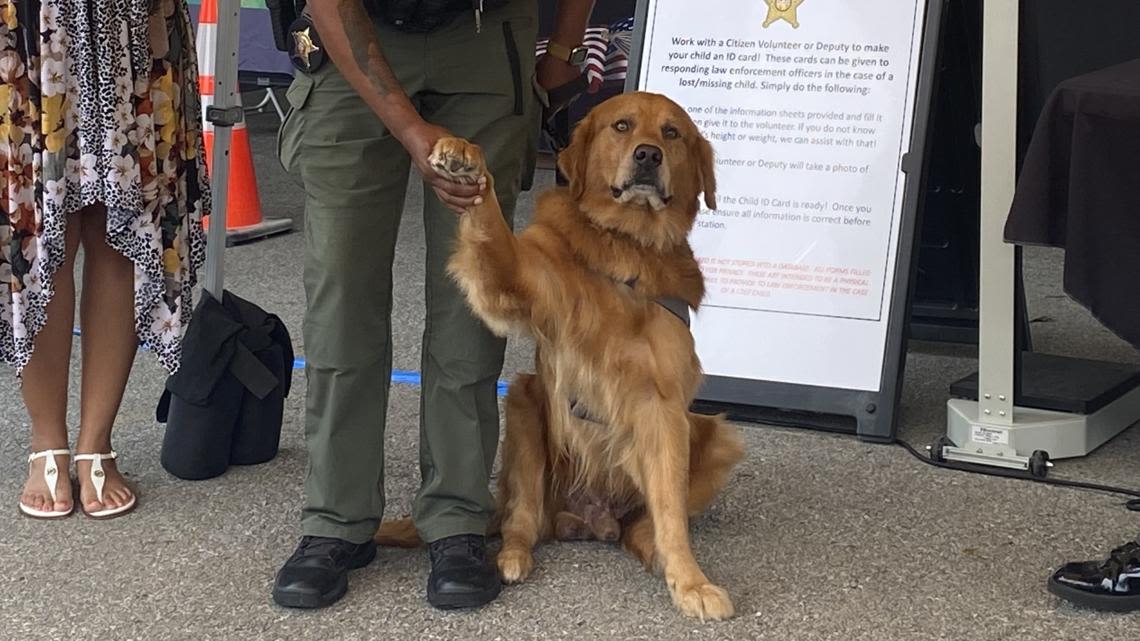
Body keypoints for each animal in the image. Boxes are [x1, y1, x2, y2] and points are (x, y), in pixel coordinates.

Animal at [378, 91, 743, 620]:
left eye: (671, 133)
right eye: (622, 126)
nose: (648, 155)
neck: (626, 244)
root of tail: (589, 519)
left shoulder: (663, 407)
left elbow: (670, 513)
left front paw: (691, 581)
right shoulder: (516, 280)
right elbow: (492, 228)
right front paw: (465, 158)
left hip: (716, 437)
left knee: (641, 527)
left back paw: (651, 551)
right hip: (525, 407)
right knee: (522, 521)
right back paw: (511, 556)